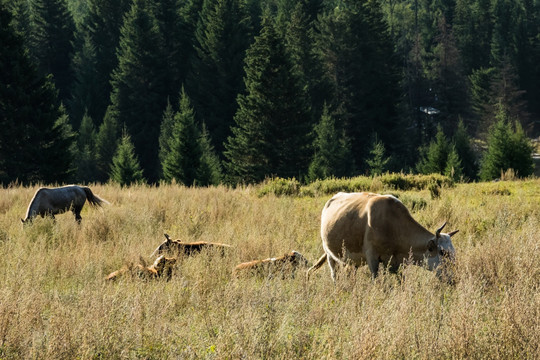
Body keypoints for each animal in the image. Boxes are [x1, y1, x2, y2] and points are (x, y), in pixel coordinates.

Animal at [306, 193, 458, 282]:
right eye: (442, 252)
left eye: (454, 252)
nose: (454, 278)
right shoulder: (372, 258)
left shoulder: (394, 263)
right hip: (330, 254)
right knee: (334, 274)